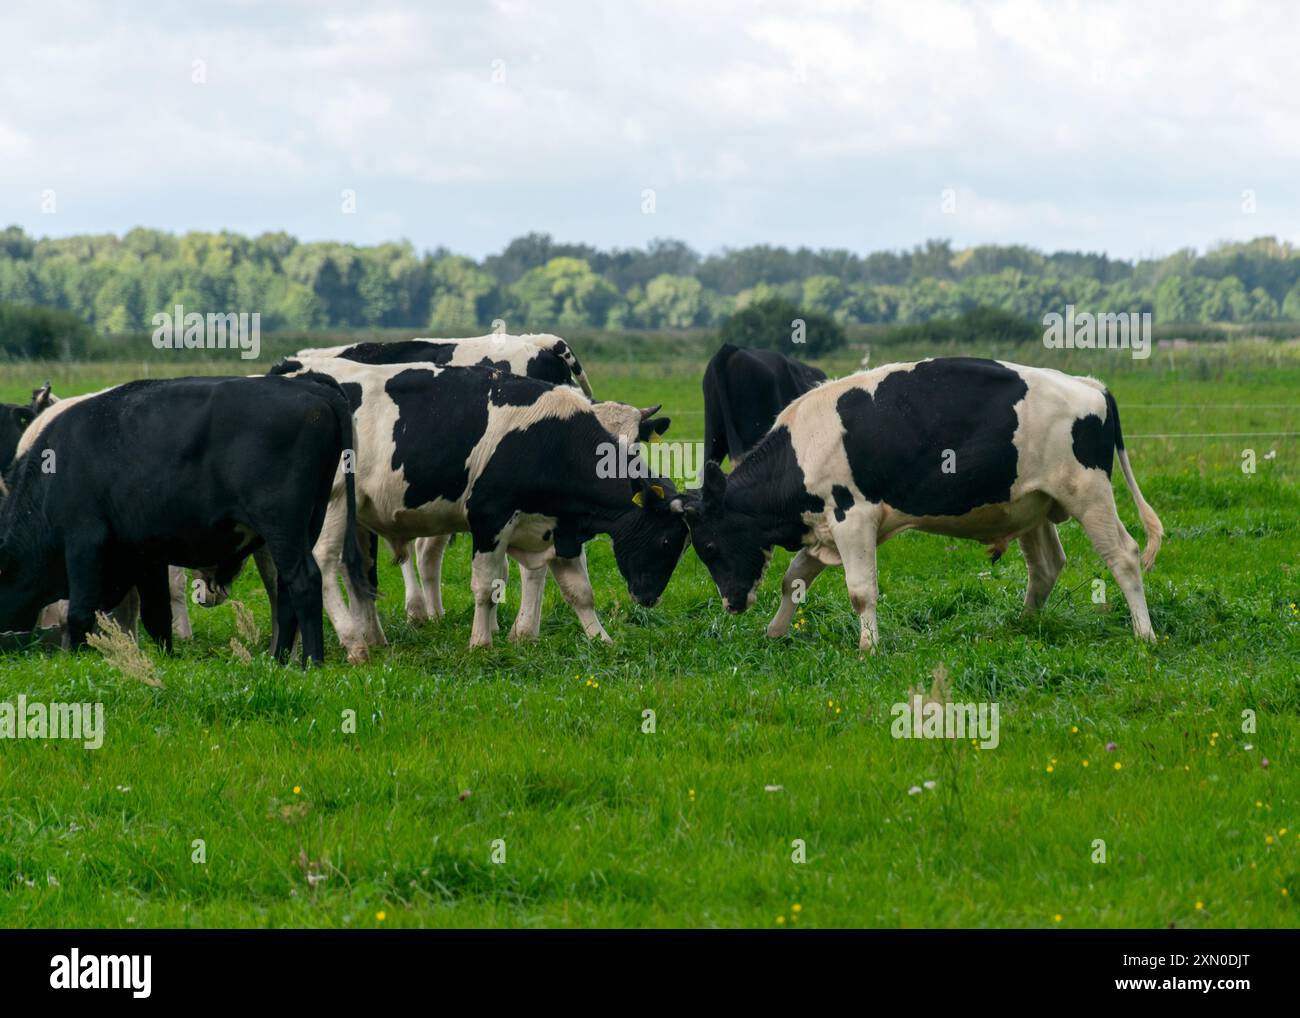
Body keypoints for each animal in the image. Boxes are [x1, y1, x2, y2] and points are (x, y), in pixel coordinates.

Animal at [0, 373, 371, 663]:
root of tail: (310, 387)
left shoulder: (83, 542)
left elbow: (80, 611)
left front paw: (76, 658)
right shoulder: (144, 554)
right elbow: (156, 614)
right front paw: (167, 658)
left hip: (283, 526)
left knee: (305, 582)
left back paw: (311, 661)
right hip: (303, 527)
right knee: (285, 589)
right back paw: (278, 660)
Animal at [270, 357, 689, 660]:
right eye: (666, 542)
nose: (649, 599)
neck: (553, 439)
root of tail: (302, 373)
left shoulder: (556, 527)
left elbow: (579, 591)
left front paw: (601, 640)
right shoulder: (490, 518)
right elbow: (486, 586)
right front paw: (482, 643)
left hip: (352, 516)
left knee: (354, 572)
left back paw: (367, 637)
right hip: (335, 502)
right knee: (323, 563)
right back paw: (351, 641)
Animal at [675, 358, 1164, 649]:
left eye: (709, 547)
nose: (731, 604)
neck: (801, 449)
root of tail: (1088, 385)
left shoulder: (852, 518)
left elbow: (860, 591)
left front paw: (868, 647)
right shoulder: (825, 526)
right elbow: (793, 577)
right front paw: (776, 631)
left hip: (1089, 493)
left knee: (1124, 556)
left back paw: (1144, 634)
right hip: (1033, 504)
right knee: (1046, 566)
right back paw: (1025, 624)